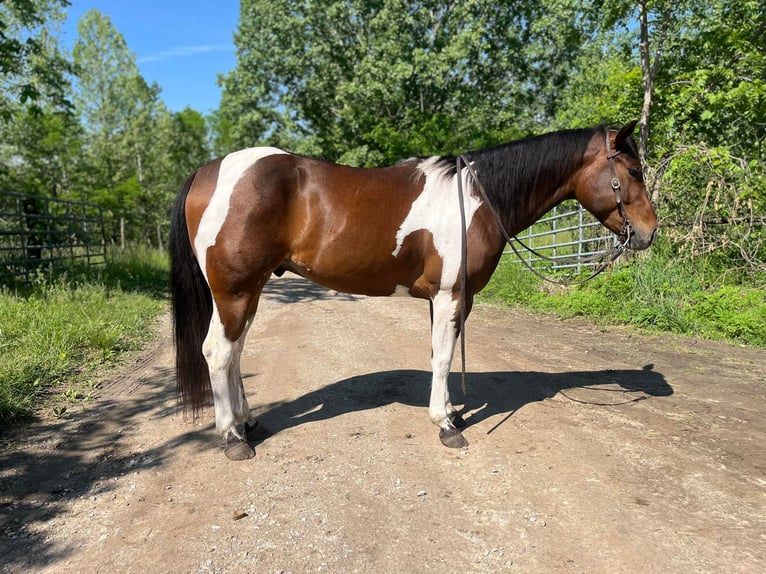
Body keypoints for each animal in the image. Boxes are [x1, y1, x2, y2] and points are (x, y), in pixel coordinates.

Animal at [169, 121, 657, 461]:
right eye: (633, 170)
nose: (650, 233)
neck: (478, 199)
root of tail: (208, 171)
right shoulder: (451, 296)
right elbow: (443, 357)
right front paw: (447, 425)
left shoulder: (442, 299)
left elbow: (438, 354)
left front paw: (451, 412)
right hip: (234, 290)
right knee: (218, 352)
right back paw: (233, 437)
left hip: (248, 291)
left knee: (235, 354)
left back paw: (248, 422)